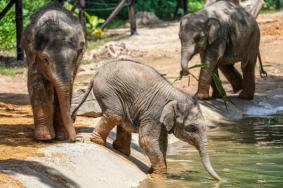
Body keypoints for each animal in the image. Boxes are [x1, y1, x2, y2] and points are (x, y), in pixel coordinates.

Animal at [21, 3, 85, 141]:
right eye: (45, 59)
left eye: (73, 58)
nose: (76, 139)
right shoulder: (33, 55)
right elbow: (37, 84)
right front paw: (44, 138)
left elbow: (68, 88)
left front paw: (61, 137)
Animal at [71, 59, 222, 180]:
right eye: (192, 128)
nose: (220, 180)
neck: (177, 95)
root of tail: (97, 73)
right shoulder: (155, 113)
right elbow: (148, 140)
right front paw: (159, 177)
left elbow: (161, 143)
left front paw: (153, 172)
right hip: (108, 91)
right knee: (115, 115)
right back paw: (98, 142)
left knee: (122, 119)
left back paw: (120, 150)